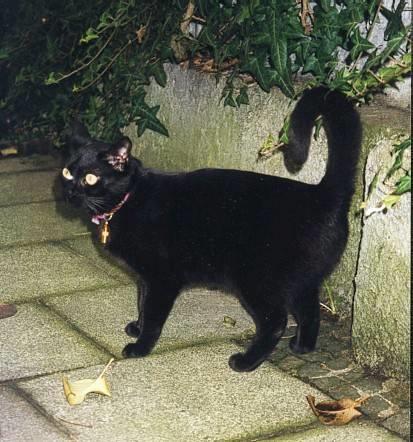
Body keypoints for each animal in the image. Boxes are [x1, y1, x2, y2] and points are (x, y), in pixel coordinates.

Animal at [61, 87, 361, 372]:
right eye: (66, 172)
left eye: (90, 178)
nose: (69, 191)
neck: (129, 199)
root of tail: (322, 194)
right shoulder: (145, 278)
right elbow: (142, 302)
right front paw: (137, 326)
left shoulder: (162, 278)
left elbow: (154, 314)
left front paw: (141, 346)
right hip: (301, 280)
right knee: (310, 310)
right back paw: (302, 347)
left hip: (257, 280)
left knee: (276, 321)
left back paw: (246, 363)